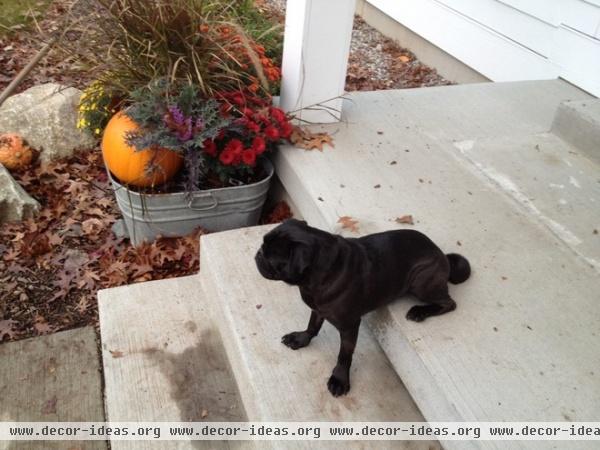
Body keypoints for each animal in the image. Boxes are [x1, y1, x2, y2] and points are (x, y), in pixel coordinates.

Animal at [253, 219, 468, 398]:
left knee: (449, 303)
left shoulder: (350, 326)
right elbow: (312, 326)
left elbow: (344, 355)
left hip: (421, 282)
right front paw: (300, 339)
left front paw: (339, 379)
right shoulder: (318, 309)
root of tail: (442, 256)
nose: (258, 253)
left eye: (271, 258)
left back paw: (420, 312)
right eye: (263, 246)